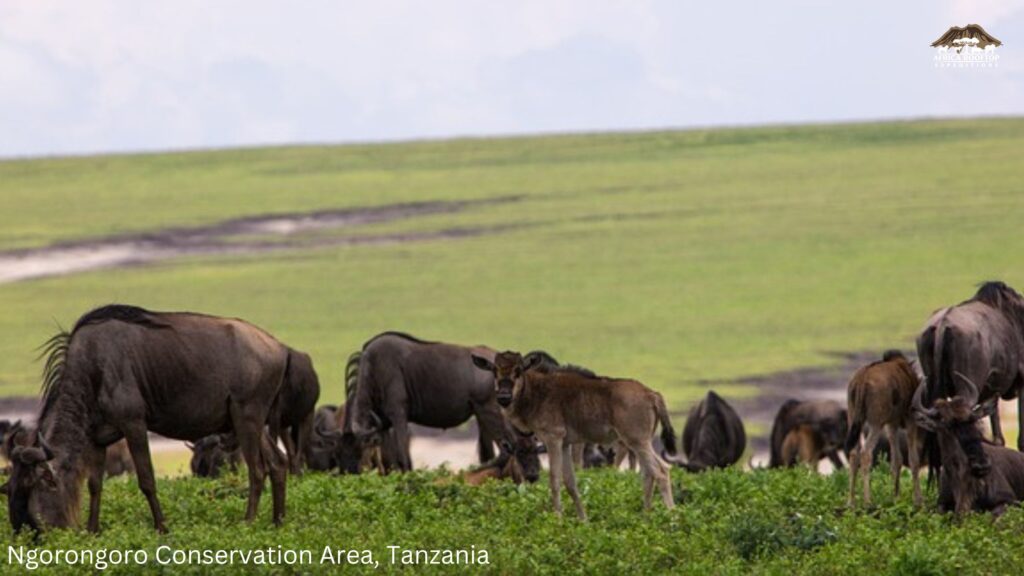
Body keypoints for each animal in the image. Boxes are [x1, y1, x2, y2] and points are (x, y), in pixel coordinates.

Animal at [473, 348, 679, 518]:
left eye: (518, 370)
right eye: (494, 370)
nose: (504, 397)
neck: (535, 392)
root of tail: (652, 394)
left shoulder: (553, 439)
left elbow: (554, 479)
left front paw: (558, 518)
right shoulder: (565, 444)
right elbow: (570, 482)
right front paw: (583, 520)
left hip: (637, 441)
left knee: (661, 471)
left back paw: (672, 516)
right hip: (639, 442)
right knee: (649, 473)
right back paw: (646, 516)